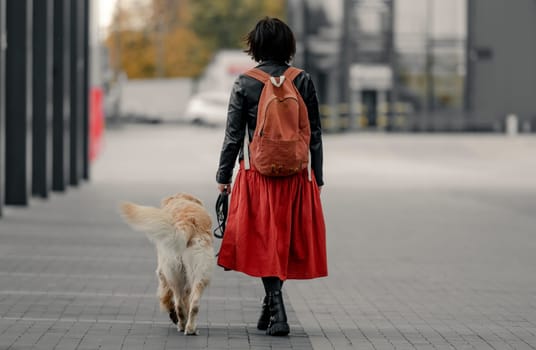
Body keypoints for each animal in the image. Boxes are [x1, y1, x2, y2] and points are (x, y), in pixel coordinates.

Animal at [120, 193, 215, 334]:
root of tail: (187, 223)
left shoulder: (161, 272)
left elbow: (166, 294)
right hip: (200, 272)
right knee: (194, 303)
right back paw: (190, 328)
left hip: (173, 273)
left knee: (178, 302)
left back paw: (181, 324)